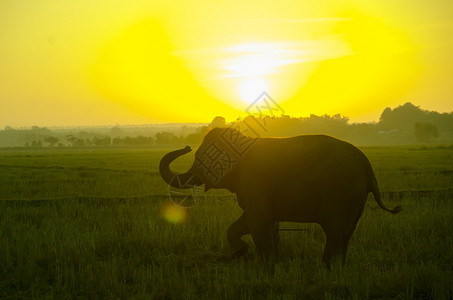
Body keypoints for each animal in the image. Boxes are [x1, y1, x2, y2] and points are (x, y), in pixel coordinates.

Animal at [159, 127, 400, 266]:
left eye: (202, 157)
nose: (186, 146)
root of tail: (367, 167)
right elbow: (256, 221)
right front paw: (244, 254)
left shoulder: (254, 182)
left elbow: (258, 221)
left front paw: (266, 265)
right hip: (354, 199)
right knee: (345, 233)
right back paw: (338, 266)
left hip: (341, 193)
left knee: (334, 231)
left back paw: (326, 266)